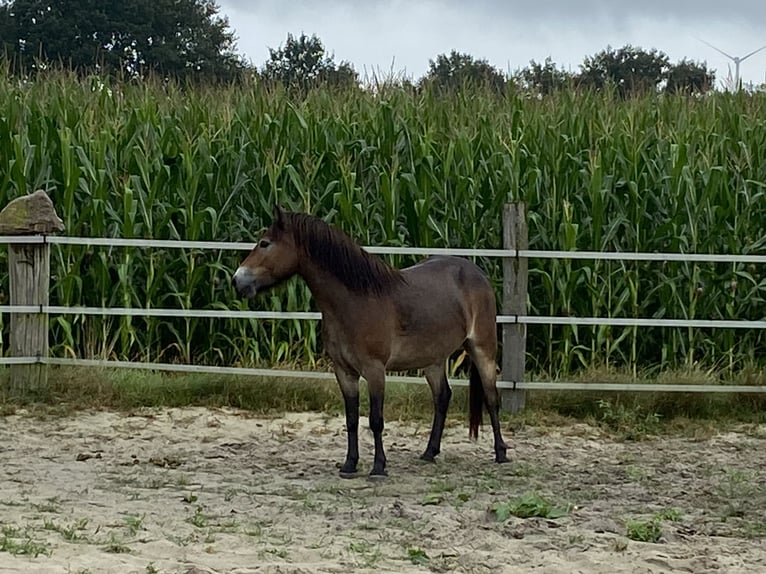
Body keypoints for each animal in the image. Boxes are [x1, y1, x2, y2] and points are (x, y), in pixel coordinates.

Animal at [232, 208, 510, 482]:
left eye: (265, 243)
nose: (237, 281)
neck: (354, 302)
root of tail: (476, 273)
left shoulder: (375, 370)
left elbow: (376, 420)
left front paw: (378, 467)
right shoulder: (344, 372)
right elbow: (352, 419)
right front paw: (349, 464)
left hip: (482, 350)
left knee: (491, 398)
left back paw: (500, 453)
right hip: (433, 359)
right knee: (442, 397)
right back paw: (429, 452)